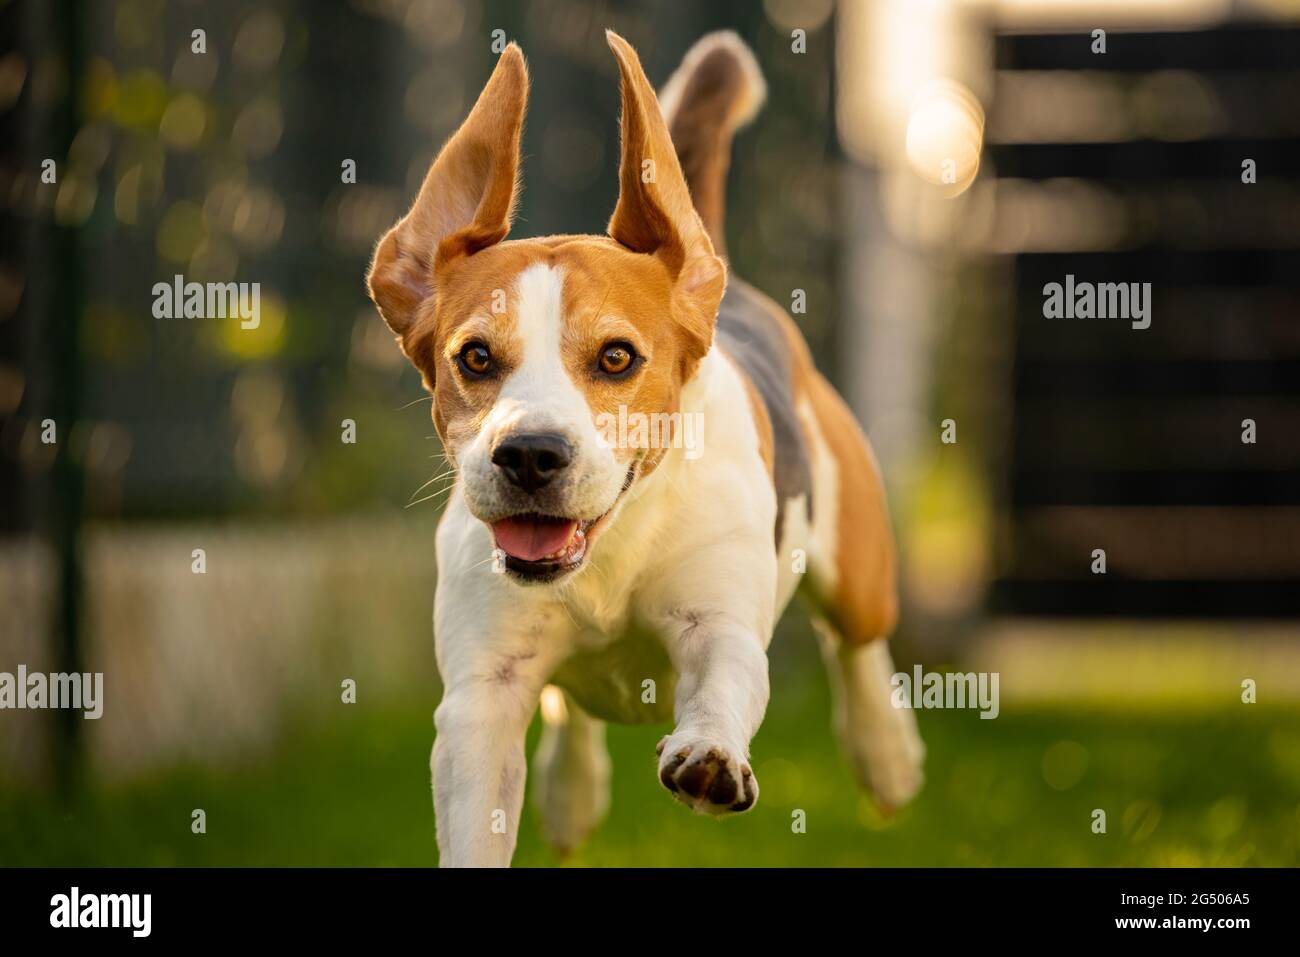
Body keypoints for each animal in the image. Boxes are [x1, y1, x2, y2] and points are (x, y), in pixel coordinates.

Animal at [361, 29, 920, 868]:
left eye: (617, 357)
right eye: (476, 357)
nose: (529, 454)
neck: (611, 545)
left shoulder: (717, 623)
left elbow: (722, 678)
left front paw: (711, 754)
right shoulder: (483, 692)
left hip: (855, 568)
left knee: (856, 644)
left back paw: (884, 752)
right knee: (573, 705)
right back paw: (572, 790)